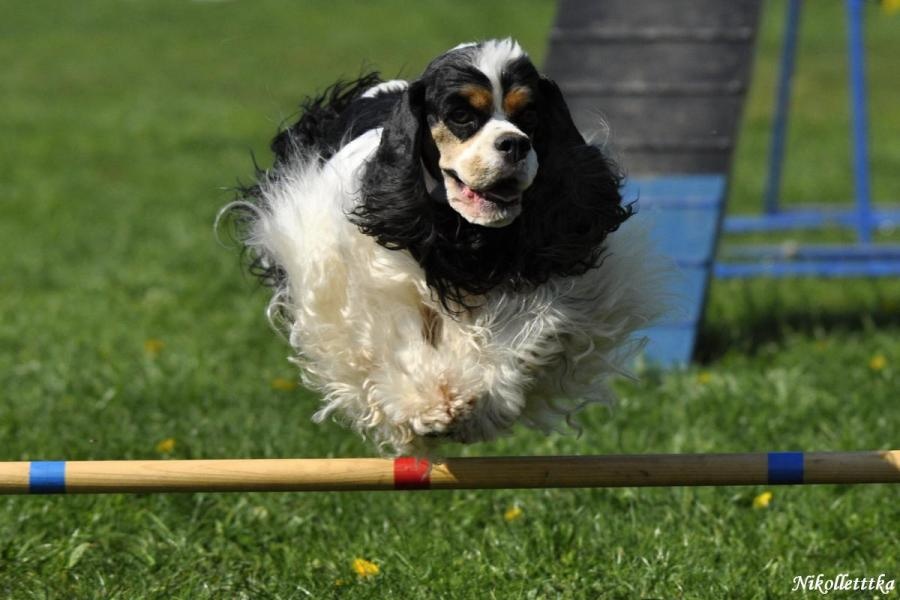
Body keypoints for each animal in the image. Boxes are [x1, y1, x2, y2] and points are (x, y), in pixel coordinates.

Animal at [225, 39, 660, 454]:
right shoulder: (368, 278)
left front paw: (481, 404)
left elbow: (521, 335)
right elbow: (394, 337)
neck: (467, 234)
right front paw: (429, 404)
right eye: (462, 116)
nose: (515, 144)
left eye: (529, 115)